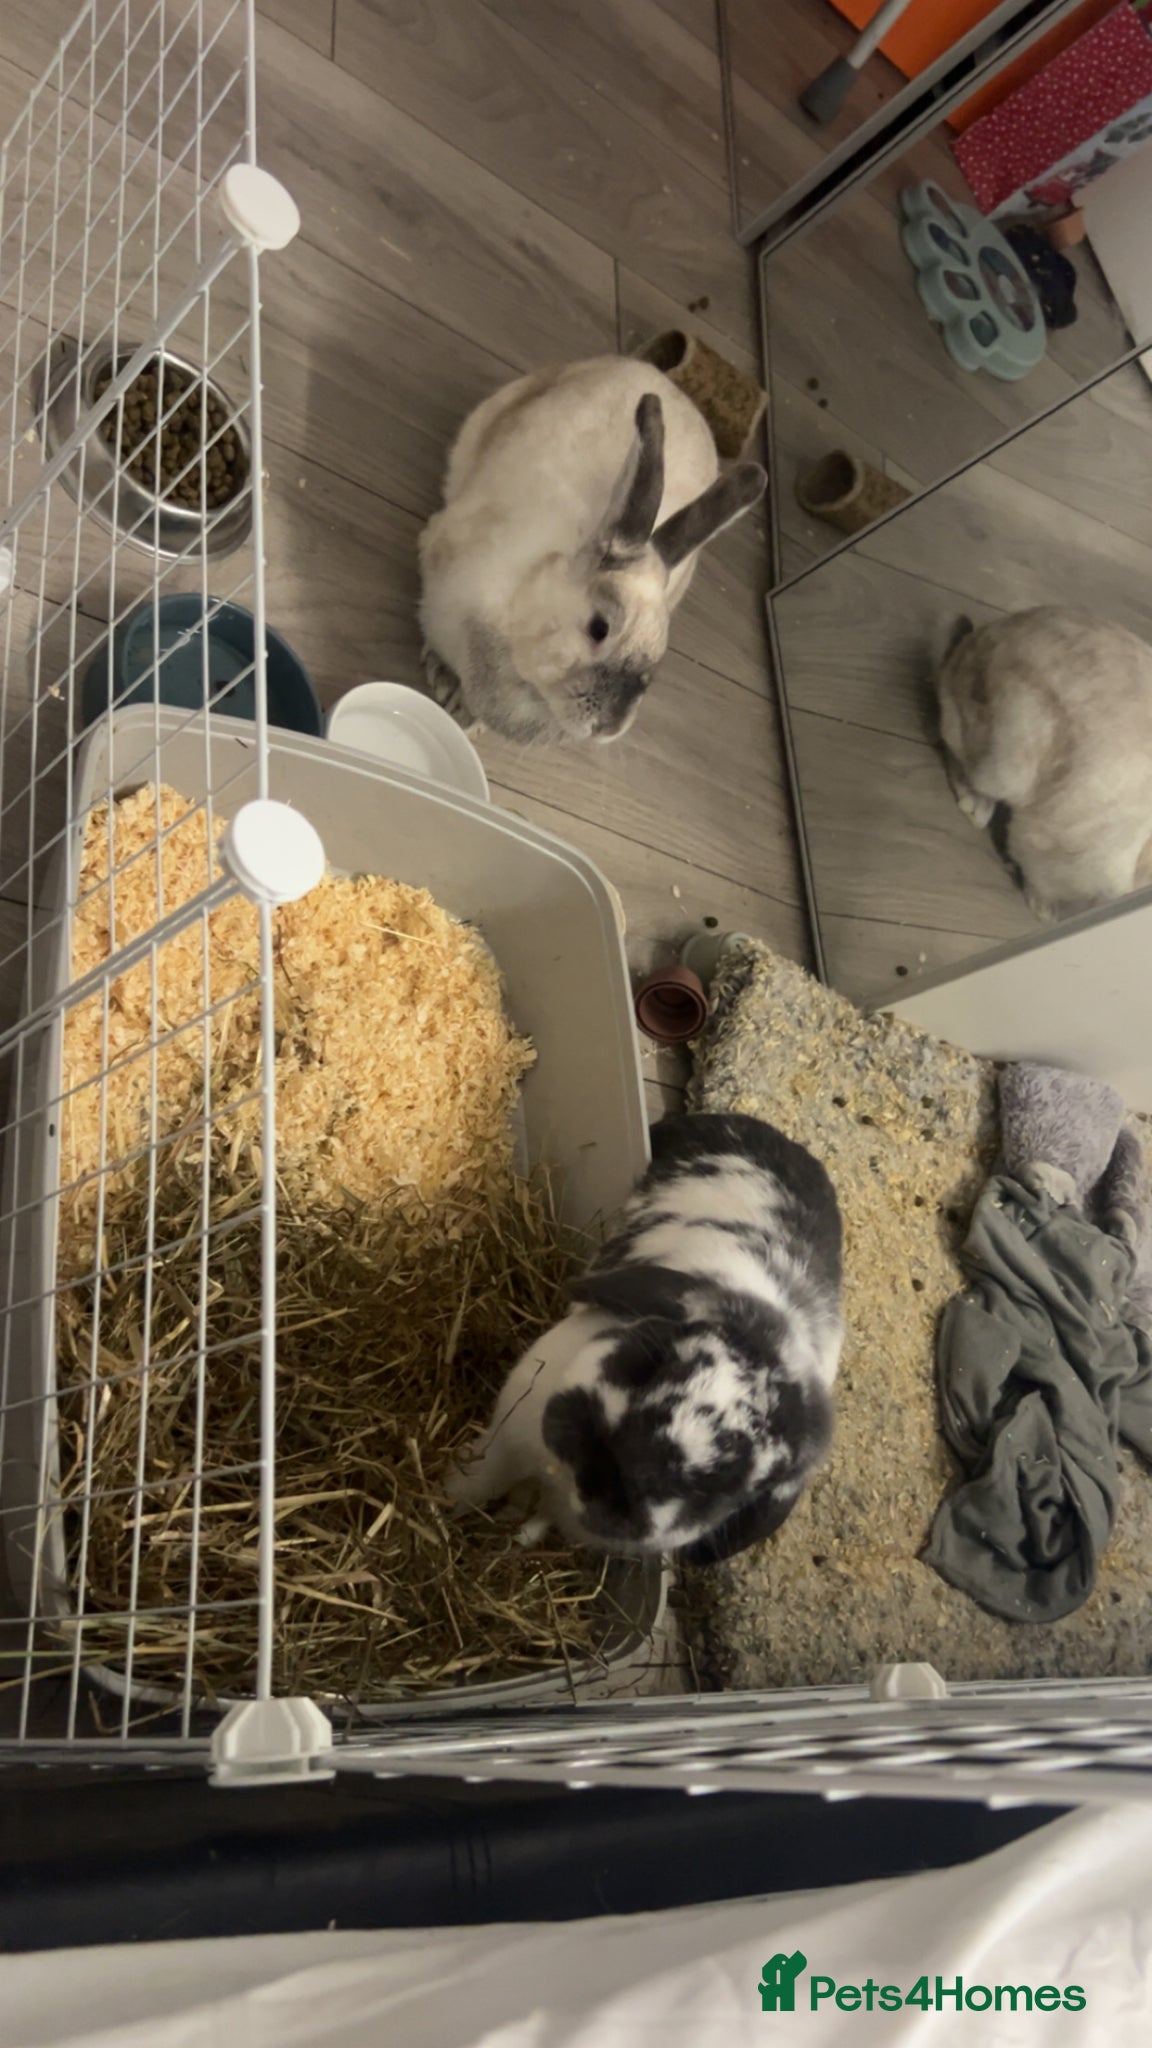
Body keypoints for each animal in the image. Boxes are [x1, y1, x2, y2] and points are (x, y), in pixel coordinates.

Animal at [417, 356, 766, 746]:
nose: (607, 726)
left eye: (657, 659)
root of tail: (674, 387)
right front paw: (444, 682)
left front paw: (468, 720)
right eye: (599, 628)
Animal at [443, 1112, 842, 1567]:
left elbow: (533, 1521)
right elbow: (473, 1482)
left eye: (723, 1483)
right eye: (653, 1362)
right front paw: (442, 1509)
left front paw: (511, 1539)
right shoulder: (505, 1443)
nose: (607, 1465)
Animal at [937, 606, 1152, 923]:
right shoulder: (1073, 857)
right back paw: (975, 806)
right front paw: (1044, 910)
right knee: (956, 751)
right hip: (1005, 757)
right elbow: (1042, 876)